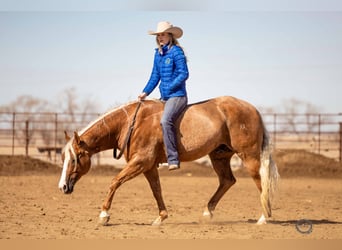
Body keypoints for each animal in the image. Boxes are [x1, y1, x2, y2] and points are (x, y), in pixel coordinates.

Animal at [58, 95, 278, 225]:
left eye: (75, 158)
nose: (63, 187)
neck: (132, 123)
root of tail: (253, 109)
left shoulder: (141, 161)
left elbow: (115, 181)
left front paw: (104, 215)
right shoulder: (148, 166)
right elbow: (156, 189)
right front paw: (161, 217)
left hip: (249, 156)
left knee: (260, 181)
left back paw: (263, 217)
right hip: (219, 156)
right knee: (227, 181)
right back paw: (208, 212)